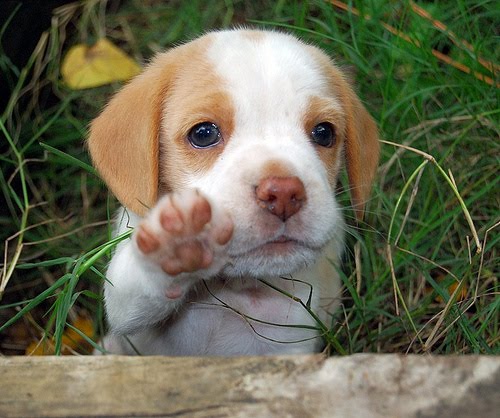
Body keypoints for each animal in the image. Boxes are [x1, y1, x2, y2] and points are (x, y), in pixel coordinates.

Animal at [89, 28, 378, 356]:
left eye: (324, 133)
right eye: (203, 134)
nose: (283, 194)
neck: (236, 290)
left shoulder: (291, 342)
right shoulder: (126, 310)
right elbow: (133, 290)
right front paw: (180, 241)